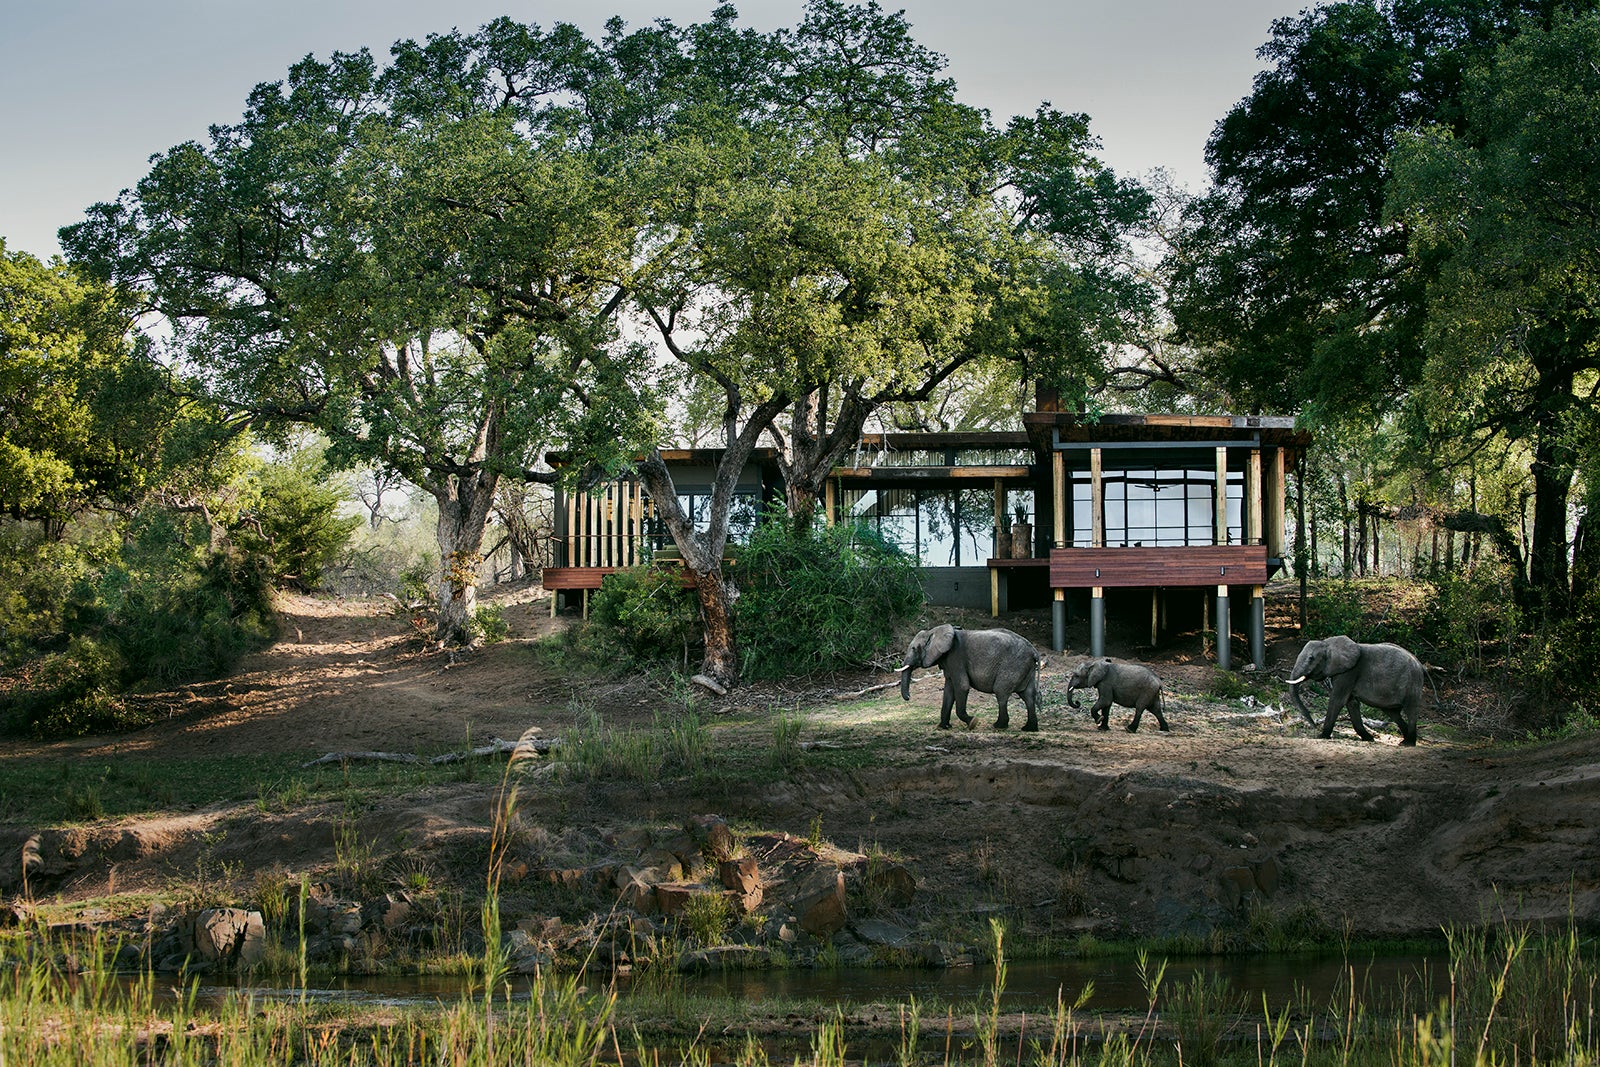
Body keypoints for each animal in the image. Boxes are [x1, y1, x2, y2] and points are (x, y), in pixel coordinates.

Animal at [896, 627, 1043, 735]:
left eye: (914, 648)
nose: (908, 697)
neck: (933, 631)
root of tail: (1034, 651)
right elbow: (948, 691)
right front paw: (943, 727)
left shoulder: (955, 657)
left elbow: (962, 687)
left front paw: (973, 722)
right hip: (1025, 668)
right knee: (1028, 696)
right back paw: (1029, 729)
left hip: (1013, 666)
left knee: (1001, 692)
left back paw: (998, 726)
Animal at [1286, 639, 1427, 748]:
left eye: (1311, 658)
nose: (1314, 725)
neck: (1327, 643)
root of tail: (1421, 666)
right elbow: (1351, 703)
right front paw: (1369, 739)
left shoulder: (1349, 672)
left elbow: (1337, 700)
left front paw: (1322, 736)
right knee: (1393, 713)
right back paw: (1404, 741)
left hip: (1412, 683)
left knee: (1410, 710)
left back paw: (1408, 743)